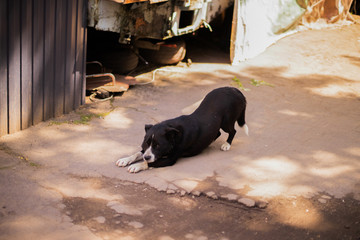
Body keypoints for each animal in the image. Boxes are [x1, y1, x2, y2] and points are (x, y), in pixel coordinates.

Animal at [115, 86, 248, 172]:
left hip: (227, 121)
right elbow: (138, 153)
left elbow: (148, 163)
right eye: (146, 143)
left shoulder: (170, 159)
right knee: (218, 133)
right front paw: (125, 159)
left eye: (158, 145)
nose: (147, 157)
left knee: (233, 131)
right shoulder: (146, 152)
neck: (173, 134)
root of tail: (237, 91)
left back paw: (227, 145)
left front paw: (137, 166)